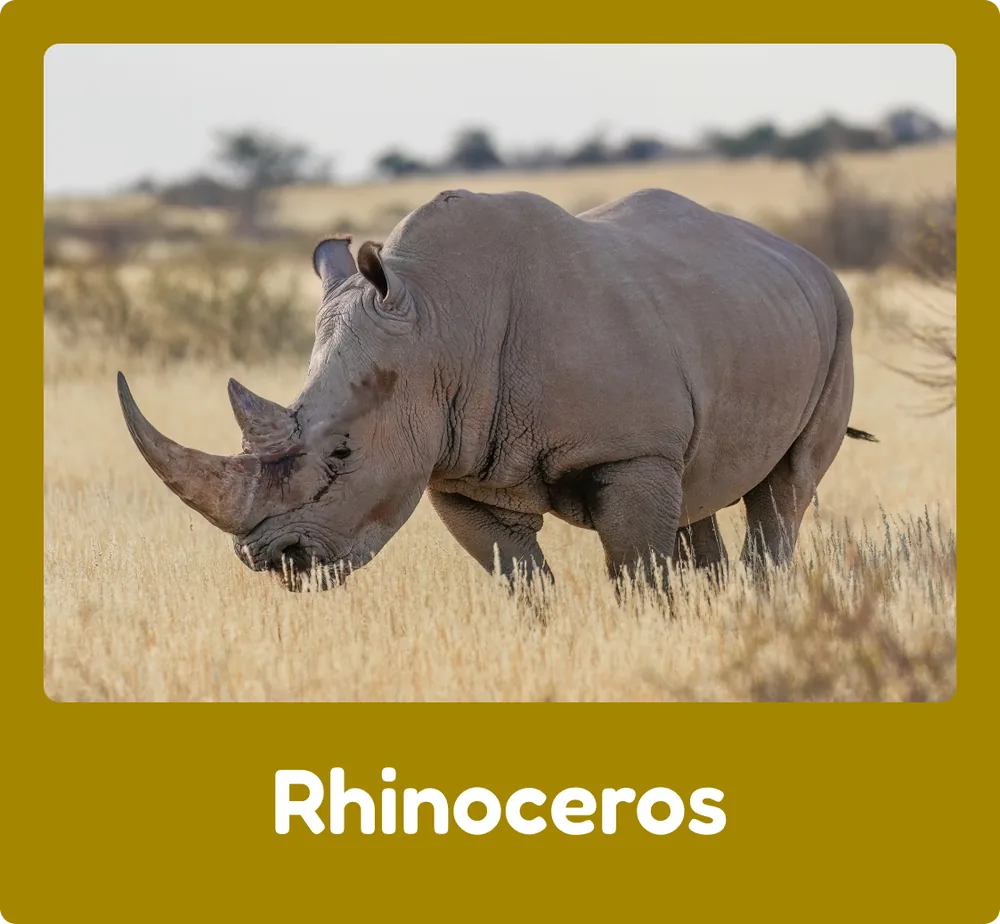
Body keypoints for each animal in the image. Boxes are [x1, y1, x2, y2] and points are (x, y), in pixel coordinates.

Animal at [117, 187, 876, 595]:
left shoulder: (630, 452)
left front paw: (654, 636)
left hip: (839, 323)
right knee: (703, 493)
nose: (271, 560)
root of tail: (806, 260)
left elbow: (638, 573)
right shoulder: (460, 473)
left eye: (342, 455)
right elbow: (521, 582)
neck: (439, 324)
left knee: (783, 494)